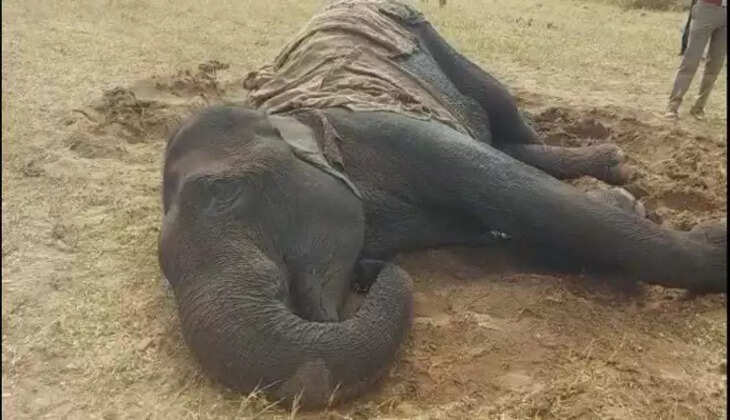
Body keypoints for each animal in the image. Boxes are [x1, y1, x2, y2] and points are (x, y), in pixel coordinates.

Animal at [158, 0, 727, 410]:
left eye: (224, 194)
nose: (366, 272)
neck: (295, 117)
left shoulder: (397, 134)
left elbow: (534, 203)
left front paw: (710, 239)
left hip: (429, 34)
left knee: (499, 109)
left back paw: (613, 164)